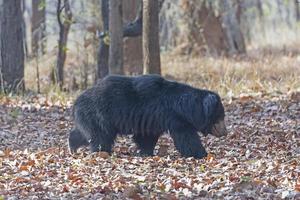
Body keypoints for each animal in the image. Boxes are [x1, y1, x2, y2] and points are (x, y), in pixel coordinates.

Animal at [68, 74, 227, 159]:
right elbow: (187, 137)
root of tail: (76, 102)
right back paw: (102, 152)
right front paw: (201, 153)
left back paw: (72, 146)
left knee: (84, 133)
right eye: (220, 117)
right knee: (101, 136)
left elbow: (146, 137)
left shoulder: (151, 119)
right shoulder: (174, 118)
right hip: (99, 114)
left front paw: (145, 152)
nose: (225, 132)